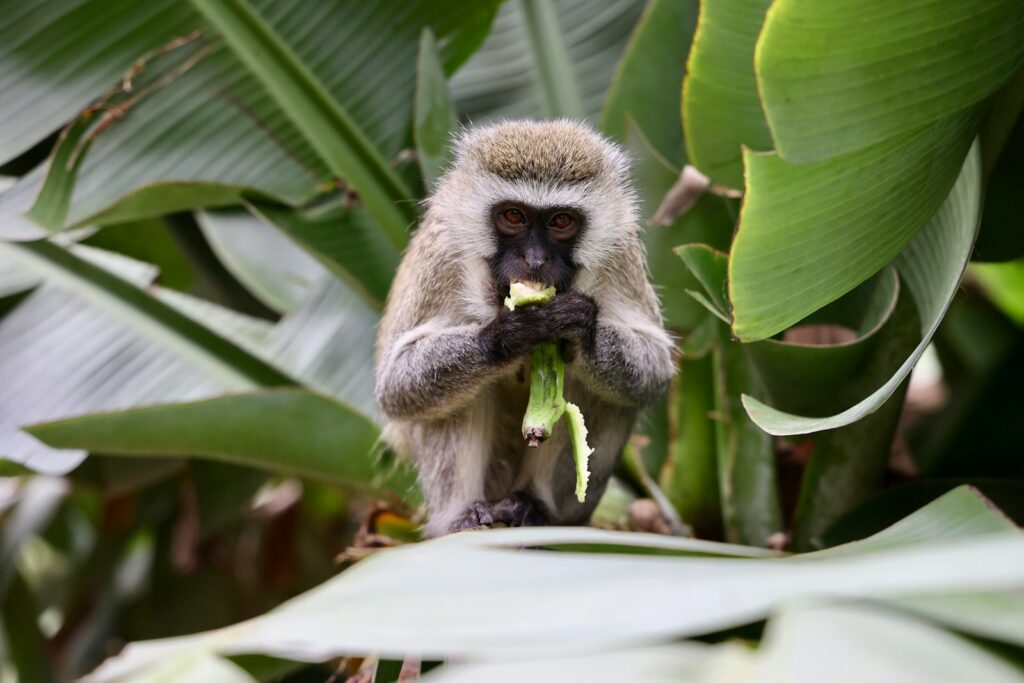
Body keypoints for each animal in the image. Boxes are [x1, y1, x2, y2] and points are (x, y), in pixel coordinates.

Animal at [372, 118, 675, 540]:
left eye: (560, 220)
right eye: (514, 216)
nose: (534, 260)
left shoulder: (620, 251)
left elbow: (654, 369)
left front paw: (578, 326)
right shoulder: (442, 251)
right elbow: (397, 385)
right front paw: (508, 335)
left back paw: (535, 506)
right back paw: (462, 516)